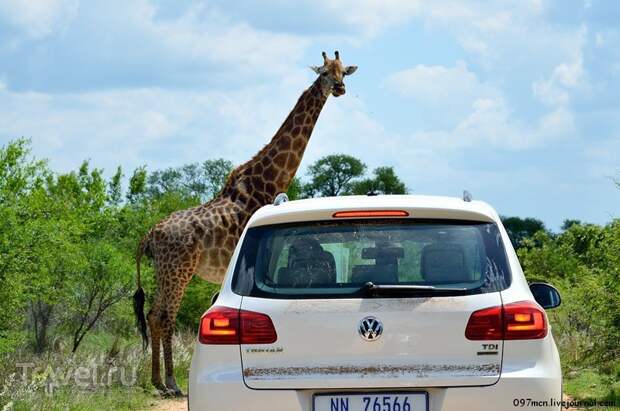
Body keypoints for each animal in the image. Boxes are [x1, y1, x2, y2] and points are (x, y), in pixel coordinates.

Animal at [134, 51, 358, 396]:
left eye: (344, 71)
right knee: (166, 316)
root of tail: (150, 235)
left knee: (153, 314)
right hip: (179, 269)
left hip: (163, 269)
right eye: (323, 72)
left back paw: (157, 381)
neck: (267, 180)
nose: (339, 88)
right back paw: (171, 383)